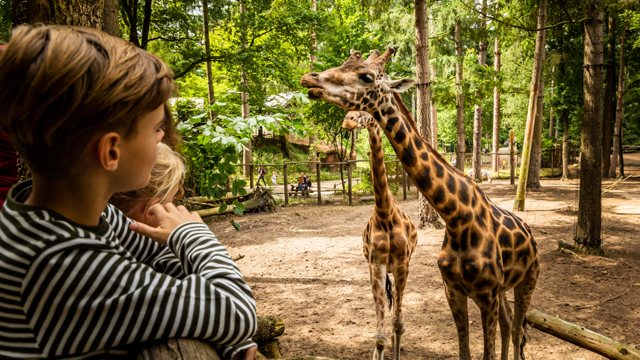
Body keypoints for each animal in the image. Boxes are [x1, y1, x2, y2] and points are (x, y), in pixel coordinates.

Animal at [342, 110, 418, 360]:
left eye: (364, 111)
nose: (347, 121)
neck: (385, 214)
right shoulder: (376, 265)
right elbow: (380, 337)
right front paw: (378, 352)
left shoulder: (403, 264)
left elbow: (398, 325)